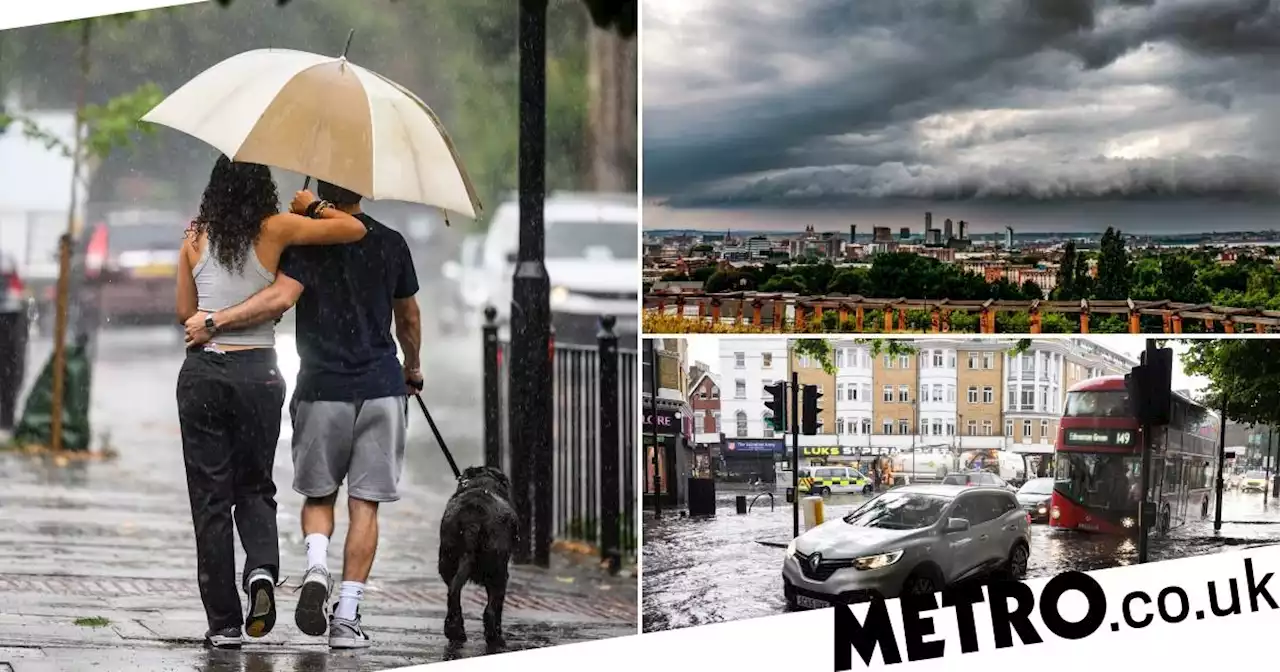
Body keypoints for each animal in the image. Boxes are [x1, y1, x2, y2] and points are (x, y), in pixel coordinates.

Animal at [440, 465, 514, 645]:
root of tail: (472, 520)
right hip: (498, 572)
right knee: (491, 609)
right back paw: (495, 638)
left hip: (447, 560)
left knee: (453, 593)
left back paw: (455, 631)